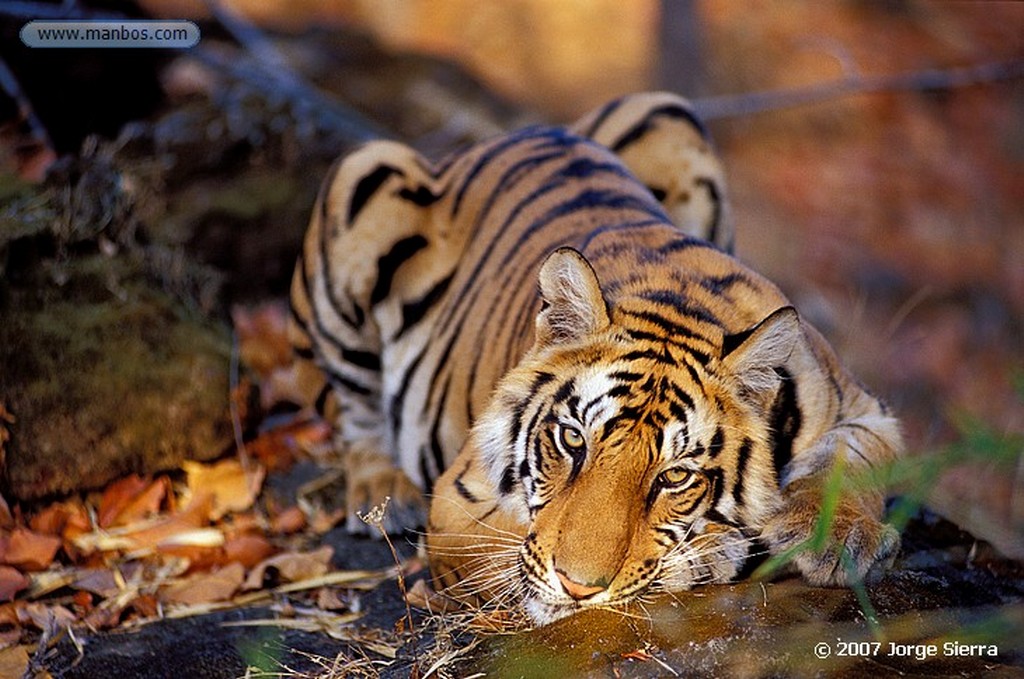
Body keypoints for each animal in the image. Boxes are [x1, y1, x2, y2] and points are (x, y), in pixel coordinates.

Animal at [290, 91, 905, 626]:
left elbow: (850, 459)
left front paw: (839, 538)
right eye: (571, 440)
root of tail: (526, 131)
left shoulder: (864, 408)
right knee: (353, 405)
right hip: (364, 176)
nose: (577, 587)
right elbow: (507, 545)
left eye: (675, 476)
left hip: (669, 113)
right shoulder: (457, 500)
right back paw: (384, 495)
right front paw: (715, 550)